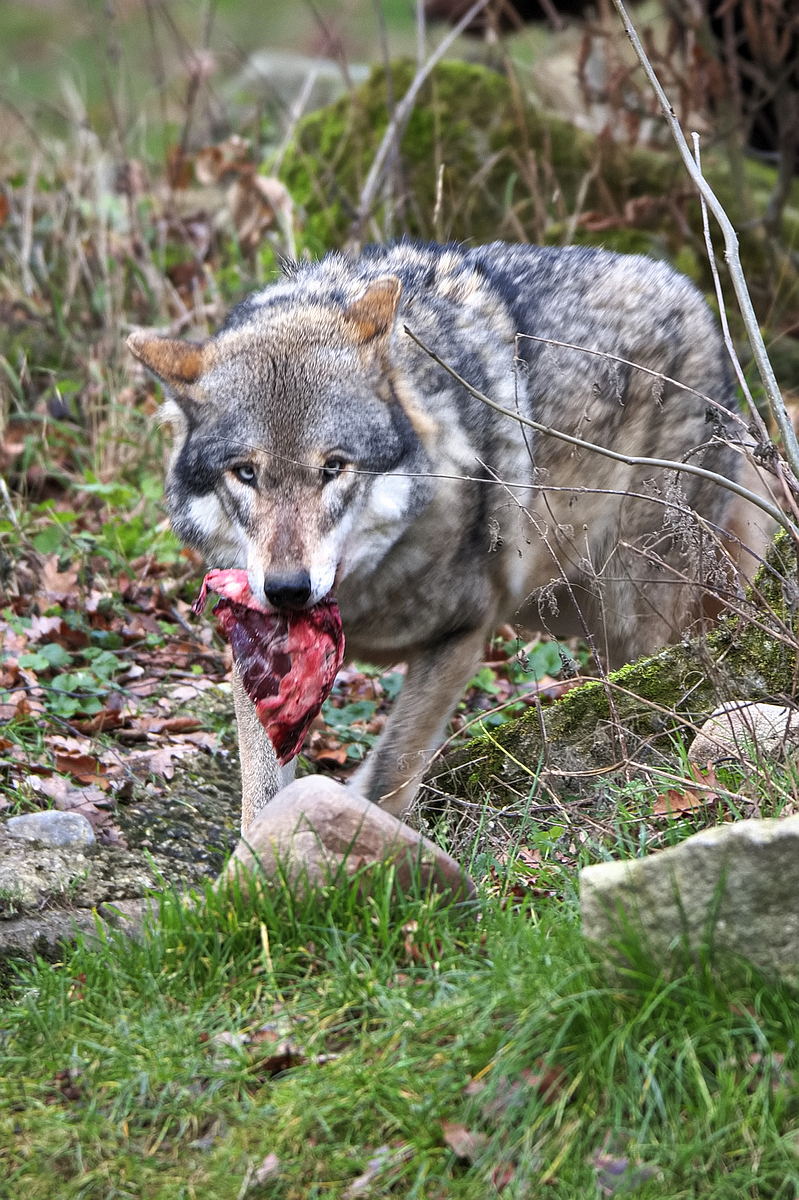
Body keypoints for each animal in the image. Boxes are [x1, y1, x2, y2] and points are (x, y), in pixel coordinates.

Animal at [128, 240, 773, 825]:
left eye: (333, 467)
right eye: (246, 473)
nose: (288, 590)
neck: (363, 597)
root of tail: (694, 295)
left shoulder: (465, 630)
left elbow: (389, 771)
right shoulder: (259, 649)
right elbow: (261, 795)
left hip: (634, 609)